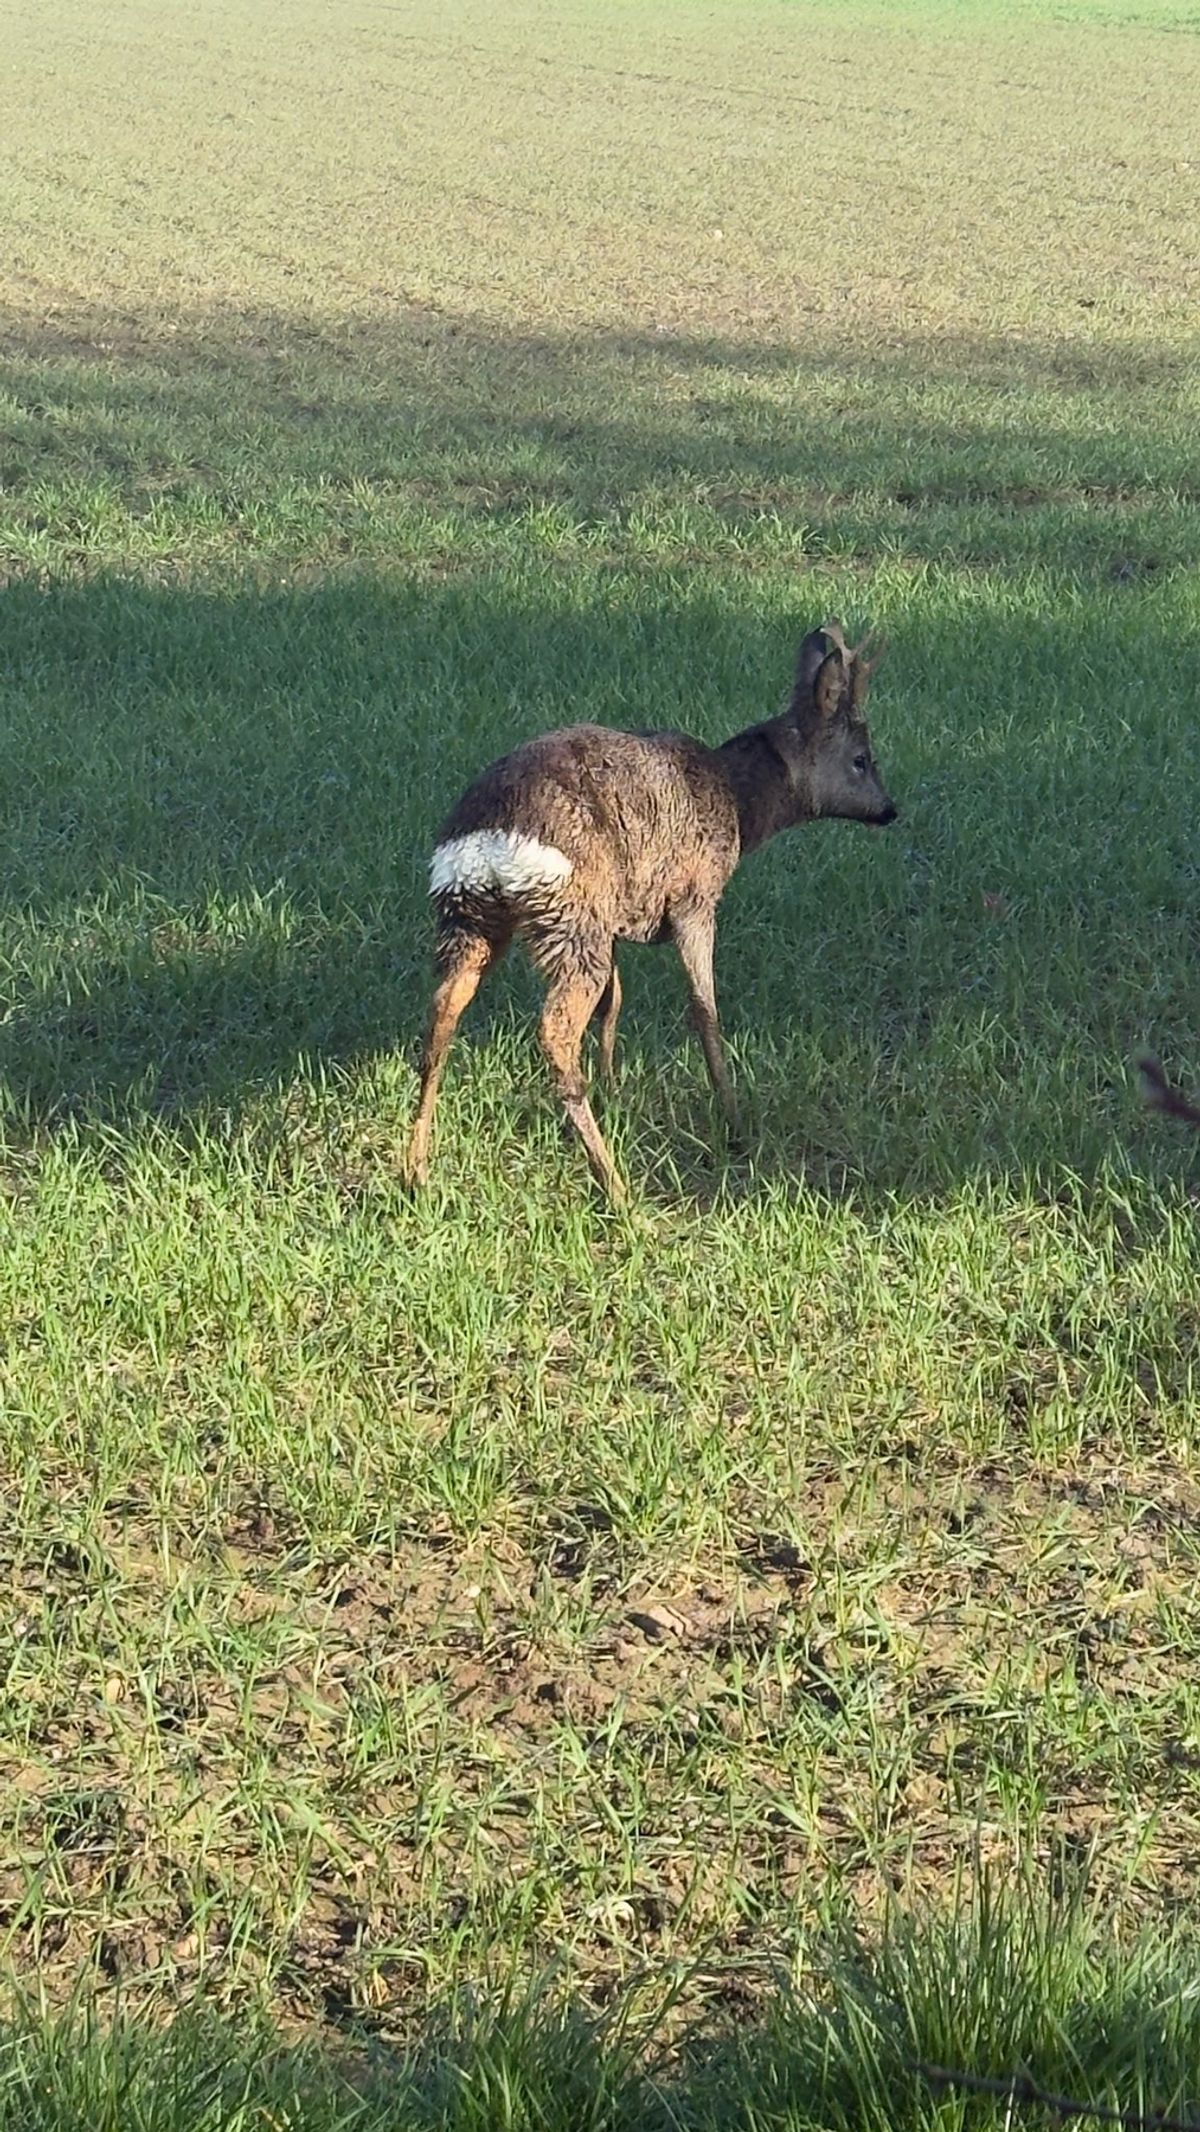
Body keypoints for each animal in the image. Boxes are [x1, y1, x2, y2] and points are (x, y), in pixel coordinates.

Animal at [404, 620, 898, 1202]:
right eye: (862, 759)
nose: (890, 809)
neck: (738, 804)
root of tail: (490, 841)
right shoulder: (695, 898)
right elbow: (705, 1010)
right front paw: (735, 1125)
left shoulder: (617, 918)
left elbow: (614, 1004)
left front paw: (616, 1092)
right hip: (568, 915)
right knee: (553, 1029)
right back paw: (616, 1187)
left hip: (472, 913)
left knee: (443, 1010)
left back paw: (416, 1170)